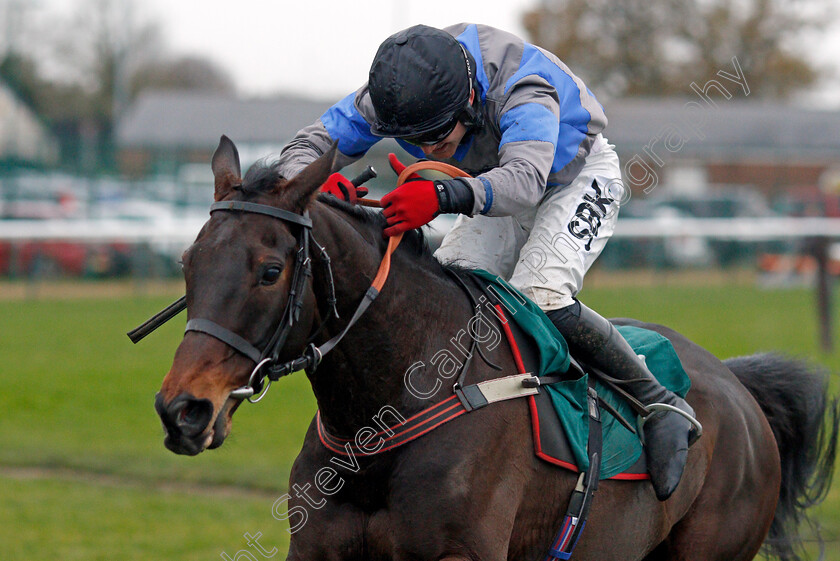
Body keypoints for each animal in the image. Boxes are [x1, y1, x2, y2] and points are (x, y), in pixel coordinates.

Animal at [153, 137, 840, 560]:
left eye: (270, 271)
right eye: (188, 262)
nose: (182, 409)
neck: (387, 414)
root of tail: (737, 384)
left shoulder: (462, 551)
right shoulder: (317, 547)